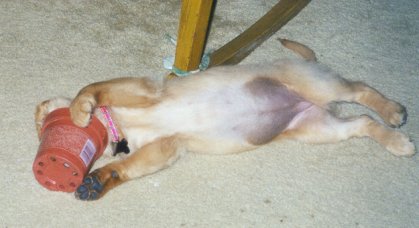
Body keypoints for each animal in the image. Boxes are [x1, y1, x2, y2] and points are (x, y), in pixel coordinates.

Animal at [35, 40, 416, 200]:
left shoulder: (143, 91)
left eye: (42, 117)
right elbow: (127, 167)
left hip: (320, 86)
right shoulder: (165, 148)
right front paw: (97, 181)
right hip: (319, 128)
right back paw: (398, 142)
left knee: (360, 90)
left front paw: (80, 110)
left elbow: (92, 88)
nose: (40, 124)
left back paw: (394, 111)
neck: (121, 126)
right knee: (362, 123)